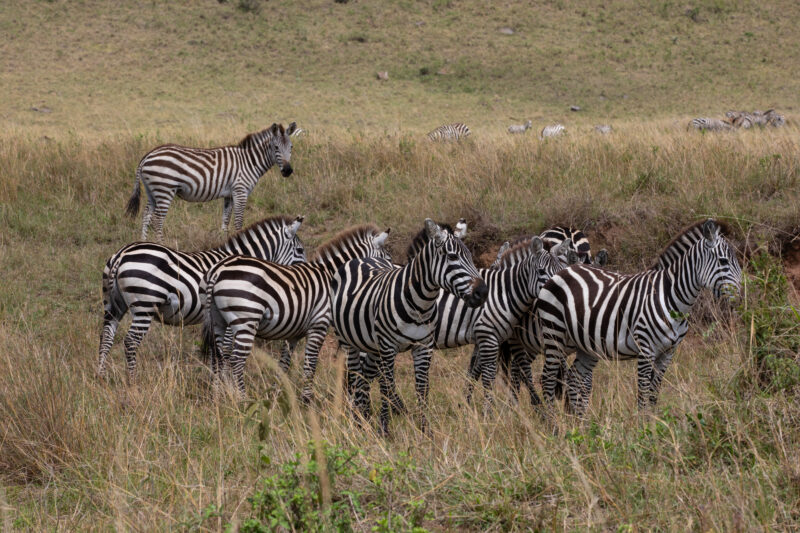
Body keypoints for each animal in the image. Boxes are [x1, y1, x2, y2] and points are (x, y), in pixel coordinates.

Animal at [97, 215, 306, 379]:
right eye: (301, 250)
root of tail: (122, 253)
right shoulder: (229, 318)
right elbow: (225, 352)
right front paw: (226, 382)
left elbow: (216, 351)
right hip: (144, 305)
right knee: (130, 342)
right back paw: (132, 380)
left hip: (114, 304)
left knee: (106, 336)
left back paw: (101, 376)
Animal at [126, 122, 298, 242]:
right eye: (276, 147)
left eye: (291, 147)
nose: (288, 171)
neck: (249, 161)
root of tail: (148, 155)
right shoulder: (240, 191)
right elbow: (238, 221)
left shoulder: (229, 194)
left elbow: (225, 221)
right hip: (165, 189)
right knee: (157, 220)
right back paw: (161, 245)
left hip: (152, 191)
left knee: (146, 216)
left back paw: (144, 243)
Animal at [203, 224, 391, 397]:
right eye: (387, 259)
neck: (333, 279)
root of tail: (218, 270)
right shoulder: (319, 325)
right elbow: (310, 366)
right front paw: (305, 402)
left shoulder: (293, 333)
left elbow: (283, 365)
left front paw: (275, 396)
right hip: (245, 321)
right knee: (236, 362)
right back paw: (242, 400)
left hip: (218, 321)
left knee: (218, 357)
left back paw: (218, 397)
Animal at [330, 219, 489, 434]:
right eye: (452, 256)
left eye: (471, 257)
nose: (483, 292)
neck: (420, 305)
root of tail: (360, 259)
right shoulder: (388, 348)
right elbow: (387, 387)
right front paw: (384, 429)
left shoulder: (424, 347)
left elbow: (422, 388)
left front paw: (425, 430)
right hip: (349, 341)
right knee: (355, 377)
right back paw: (357, 421)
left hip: (372, 345)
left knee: (364, 378)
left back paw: (363, 418)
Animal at [536, 219, 741, 416]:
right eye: (723, 261)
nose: (741, 298)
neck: (669, 297)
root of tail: (564, 270)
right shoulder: (646, 349)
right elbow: (642, 395)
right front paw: (644, 425)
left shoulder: (668, 353)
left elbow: (653, 394)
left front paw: (655, 422)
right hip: (554, 333)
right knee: (547, 378)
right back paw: (553, 422)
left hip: (587, 345)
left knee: (575, 377)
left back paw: (579, 423)